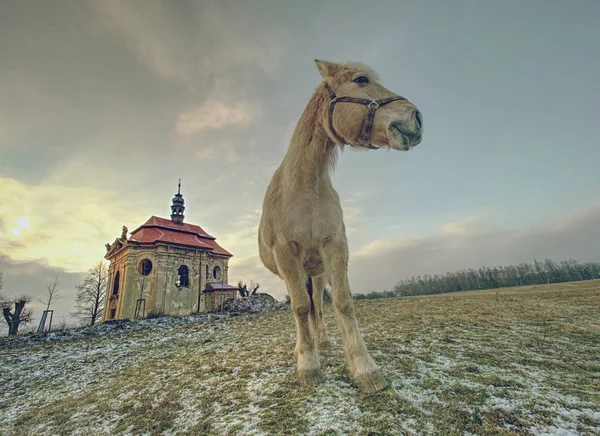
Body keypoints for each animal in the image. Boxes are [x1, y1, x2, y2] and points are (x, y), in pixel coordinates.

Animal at [258, 58, 422, 396]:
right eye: (361, 80)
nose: (417, 118)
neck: (304, 188)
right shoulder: (286, 255)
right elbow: (298, 307)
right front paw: (308, 366)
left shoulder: (334, 247)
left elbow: (343, 303)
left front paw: (365, 369)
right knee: (305, 306)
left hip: (316, 273)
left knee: (317, 306)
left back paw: (321, 341)